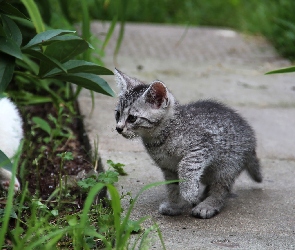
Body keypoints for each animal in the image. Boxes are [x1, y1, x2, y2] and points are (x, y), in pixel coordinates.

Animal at [114, 69, 262, 219]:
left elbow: (186, 165)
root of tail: (250, 136)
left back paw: (208, 205)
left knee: (221, 188)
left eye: (132, 118)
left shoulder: (202, 146)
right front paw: (175, 204)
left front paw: (189, 192)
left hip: (227, 166)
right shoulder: (168, 167)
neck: (159, 138)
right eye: (117, 114)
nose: (118, 128)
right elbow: (173, 187)